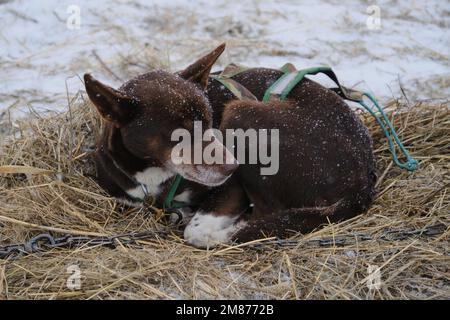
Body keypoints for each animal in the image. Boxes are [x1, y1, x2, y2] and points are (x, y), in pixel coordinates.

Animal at [83, 43, 376, 248]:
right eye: (179, 134)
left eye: (210, 120)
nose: (232, 167)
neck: (154, 173)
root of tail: (361, 183)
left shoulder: (232, 189)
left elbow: (197, 228)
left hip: (243, 111)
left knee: (267, 214)